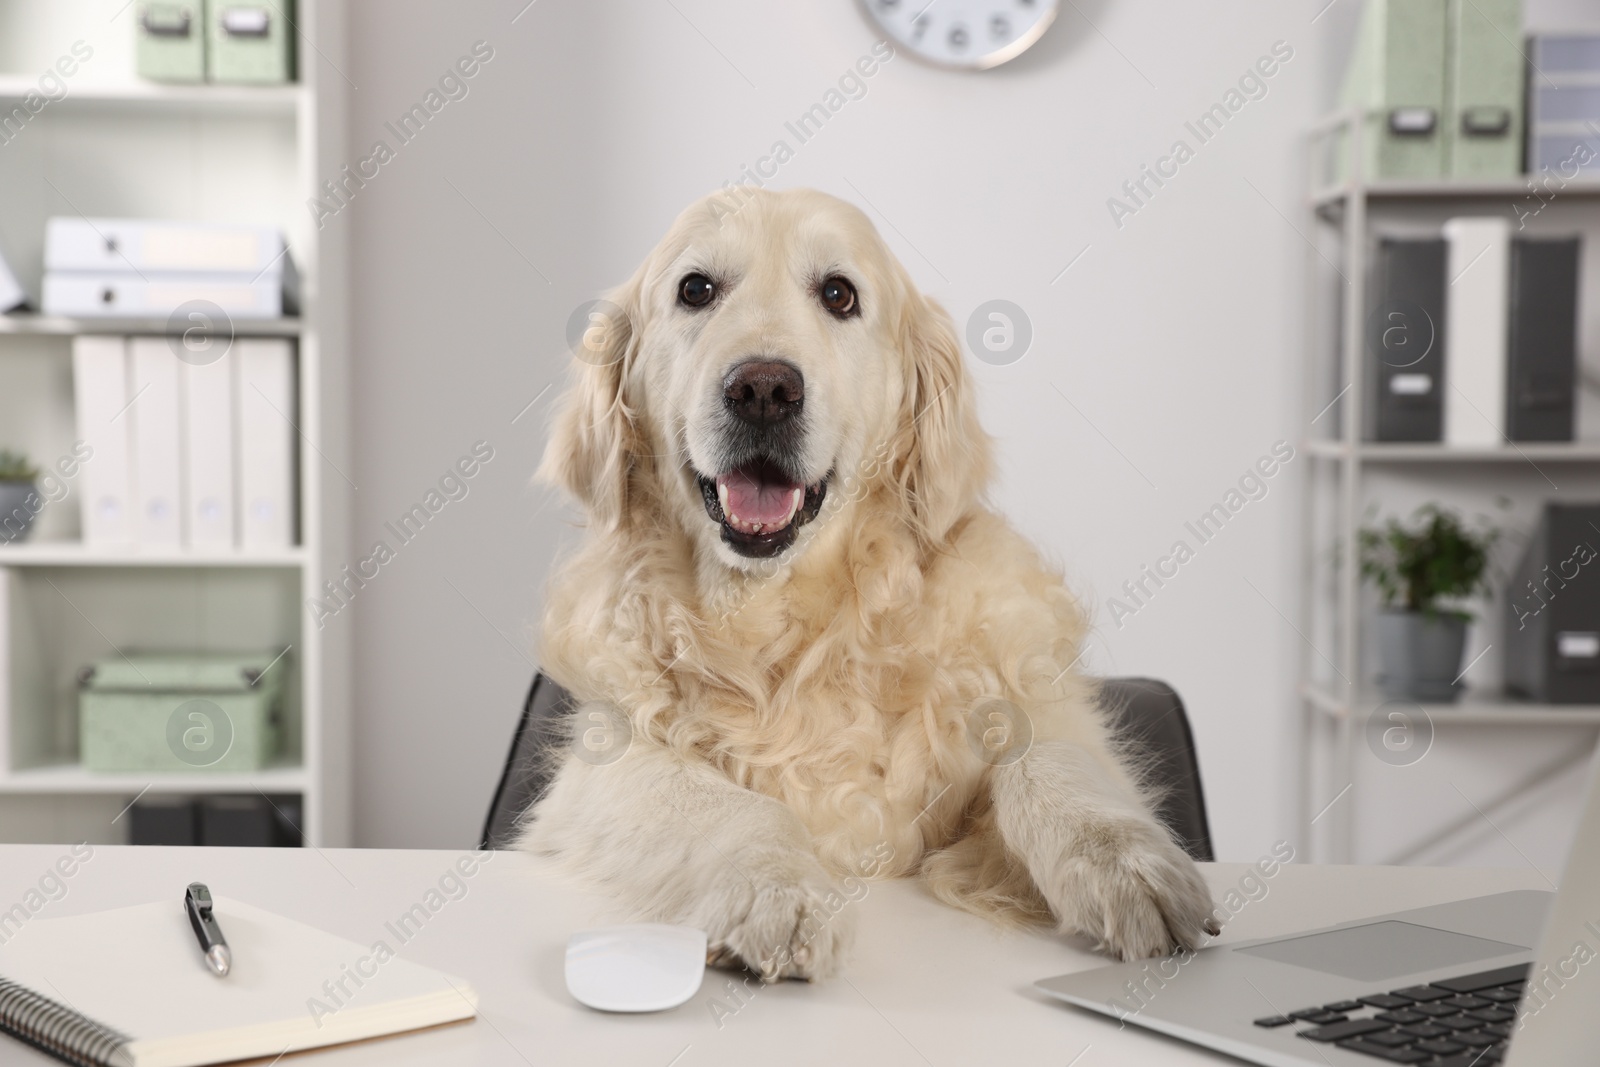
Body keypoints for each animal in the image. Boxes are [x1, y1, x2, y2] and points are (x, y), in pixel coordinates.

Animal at [521, 187, 1209, 979]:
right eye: (695, 290)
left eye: (838, 294)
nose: (763, 389)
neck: (787, 620)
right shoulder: (603, 762)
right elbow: (726, 802)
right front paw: (776, 886)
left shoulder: (1046, 710)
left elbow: (1046, 756)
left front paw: (1120, 859)